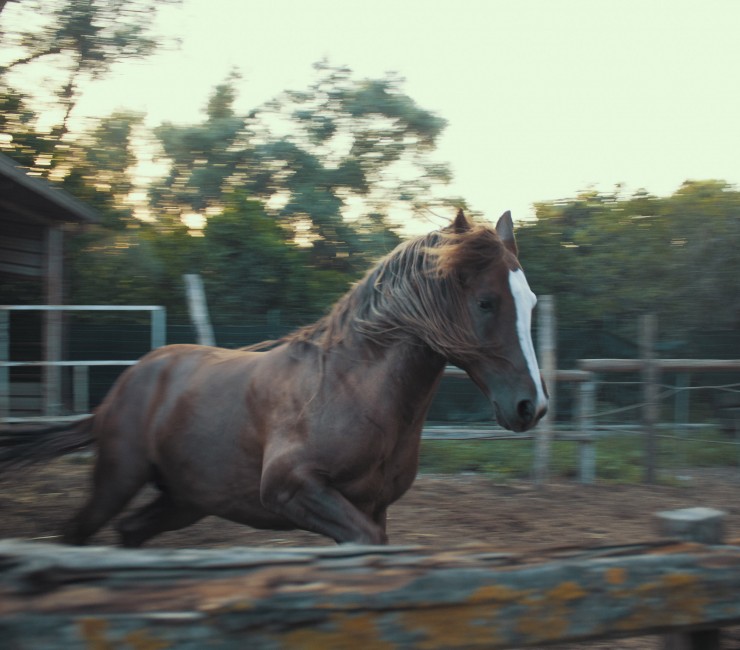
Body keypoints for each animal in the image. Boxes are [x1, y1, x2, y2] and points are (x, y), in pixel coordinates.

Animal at [0, 209, 547, 547]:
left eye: (532, 301)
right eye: (486, 302)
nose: (532, 407)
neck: (351, 388)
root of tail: (123, 386)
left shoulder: (372, 507)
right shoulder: (292, 489)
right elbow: (366, 545)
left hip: (185, 499)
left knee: (130, 532)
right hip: (117, 480)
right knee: (76, 535)